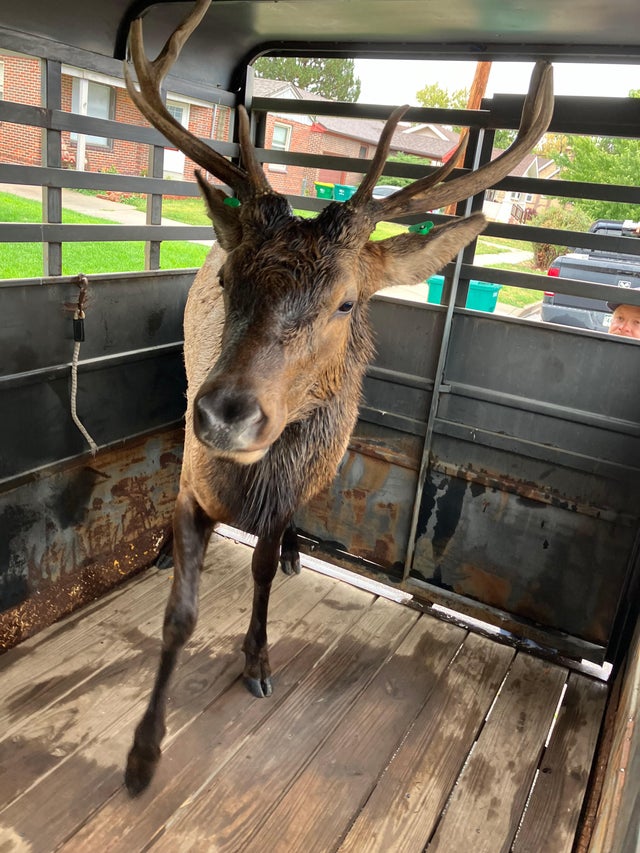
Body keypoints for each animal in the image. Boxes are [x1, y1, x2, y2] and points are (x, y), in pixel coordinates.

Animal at [122, 0, 554, 796]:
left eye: (347, 302)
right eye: (228, 279)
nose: (226, 413)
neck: (249, 481)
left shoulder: (289, 489)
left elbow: (261, 570)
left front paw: (259, 661)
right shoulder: (195, 478)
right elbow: (178, 613)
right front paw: (143, 750)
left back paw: (296, 553)